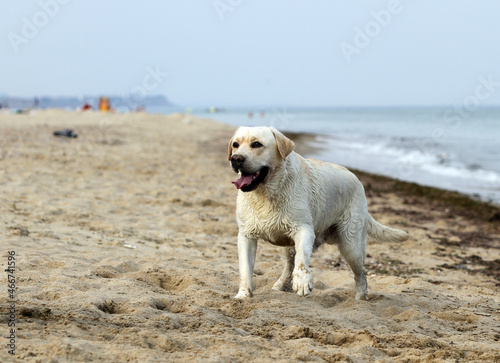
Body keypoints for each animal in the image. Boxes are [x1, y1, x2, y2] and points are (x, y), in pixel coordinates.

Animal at [229, 127, 408, 302]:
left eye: (256, 144)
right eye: (236, 145)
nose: (235, 158)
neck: (266, 194)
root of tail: (358, 181)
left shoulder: (303, 229)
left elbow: (302, 259)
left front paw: (302, 282)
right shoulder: (246, 236)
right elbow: (245, 268)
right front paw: (243, 295)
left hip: (352, 246)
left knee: (361, 274)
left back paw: (360, 297)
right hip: (292, 246)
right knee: (289, 265)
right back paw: (281, 285)